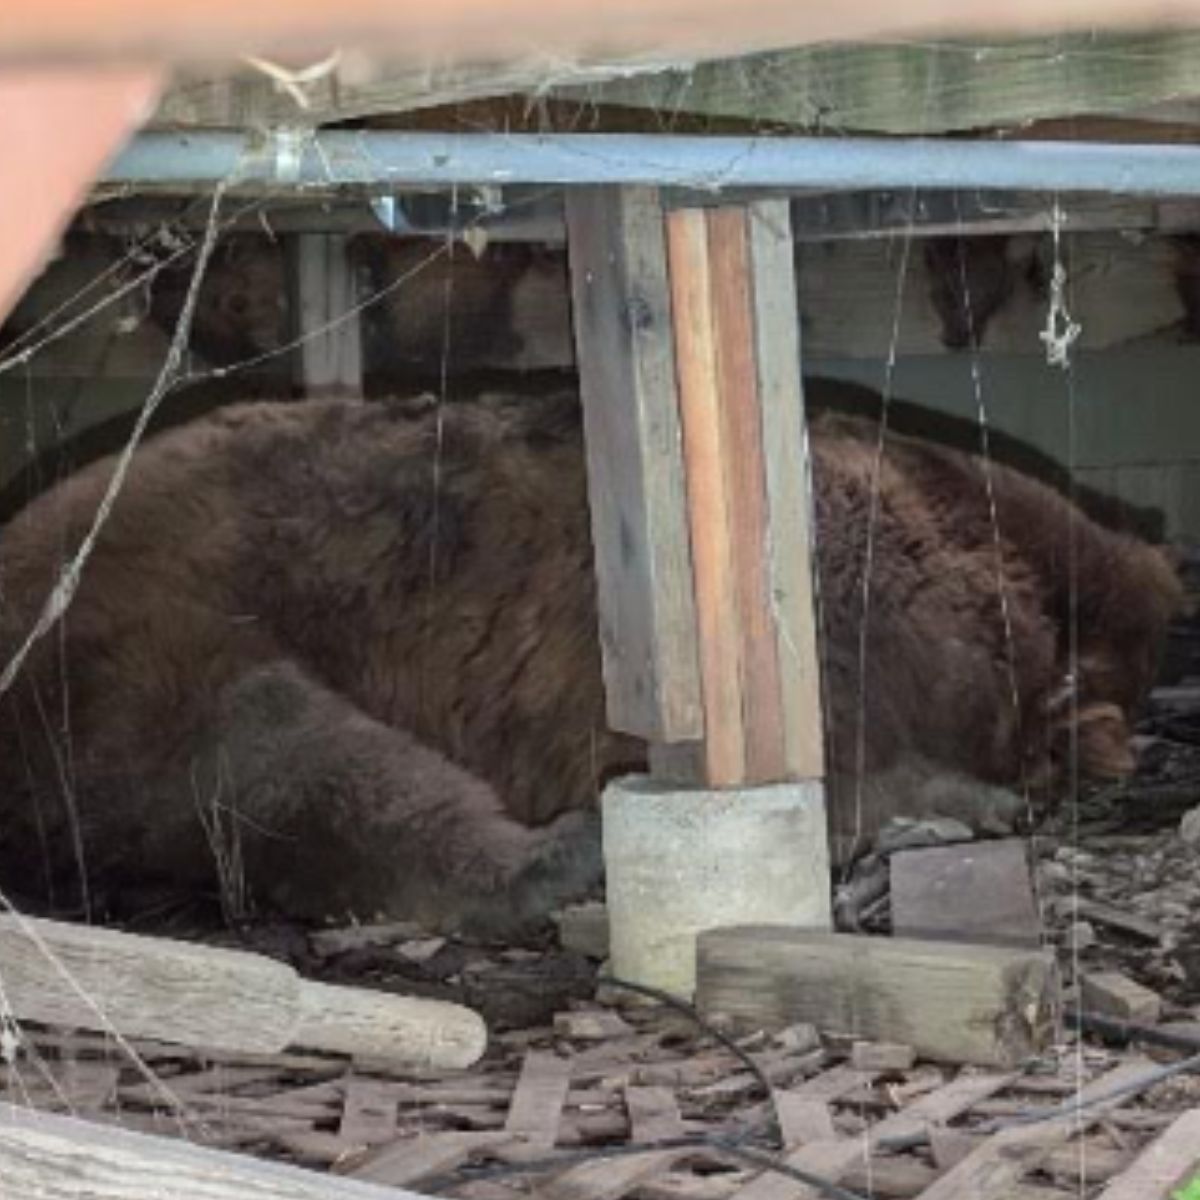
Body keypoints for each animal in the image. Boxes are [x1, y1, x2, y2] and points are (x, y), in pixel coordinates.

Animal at [0, 388, 1180, 931]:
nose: (1132, 735)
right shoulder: (848, 613)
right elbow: (857, 760)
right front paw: (971, 795)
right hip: (154, 631)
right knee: (286, 756)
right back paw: (556, 855)